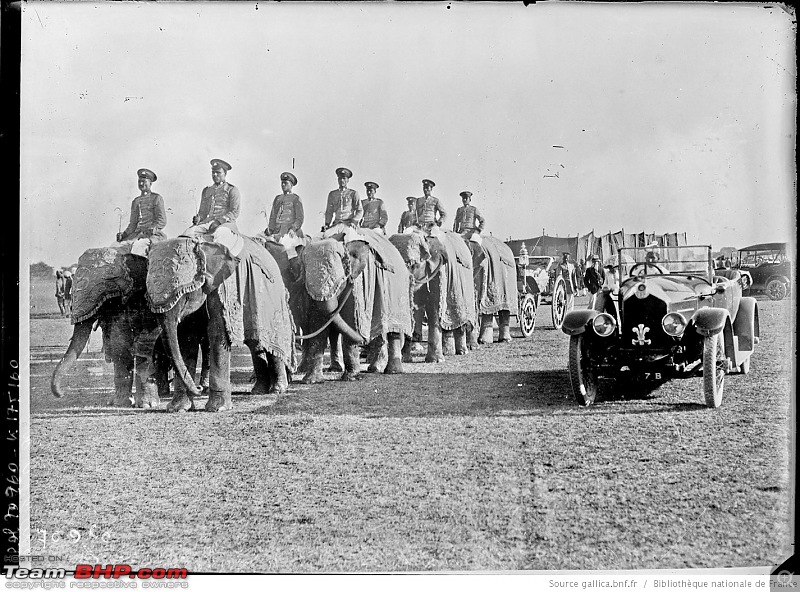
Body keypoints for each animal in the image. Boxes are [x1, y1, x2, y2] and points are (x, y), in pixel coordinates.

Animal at [49, 245, 171, 408]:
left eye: (107, 281)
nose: (61, 394)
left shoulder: (150, 299)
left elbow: (146, 342)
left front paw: (147, 405)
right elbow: (119, 344)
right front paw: (120, 403)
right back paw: (163, 393)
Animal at [145, 234, 296, 414]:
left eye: (186, 296)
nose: (199, 389)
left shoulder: (219, 289)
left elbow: (217, 333)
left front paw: (218, 408)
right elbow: (186, 338)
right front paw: (178, 409)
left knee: (271, 344)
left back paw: (277, 390)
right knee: (256, 345)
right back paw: (258, 390)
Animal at [298, 227, 416, 384]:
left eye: (340, 280)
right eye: (305, 275)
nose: (363, 340)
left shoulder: (355, 285)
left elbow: (351, 321)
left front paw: (351, 378)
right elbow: (318, 325)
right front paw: (312, 381)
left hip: (398, 293)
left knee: (394, 332)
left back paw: (392, 371)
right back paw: (374, 369)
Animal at [388, 229, 476, 364]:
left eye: (413, 265)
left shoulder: (437, 272)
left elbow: (434, 308)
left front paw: (436, 361)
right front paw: (405, 360)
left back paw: (462, 352)